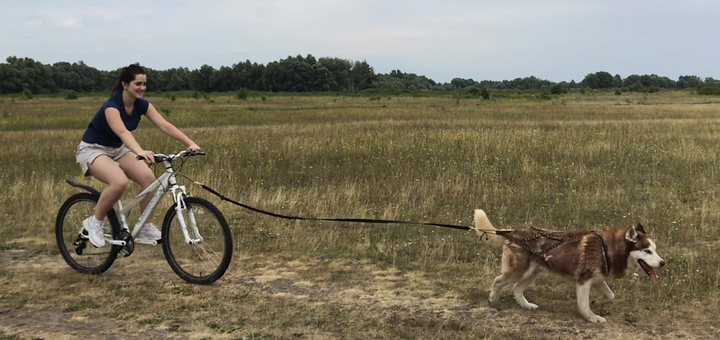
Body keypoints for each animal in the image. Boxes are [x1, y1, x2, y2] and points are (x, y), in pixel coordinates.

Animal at [476, 209, 668, 322]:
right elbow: (584, 305)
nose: (662, 262)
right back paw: (493, 299)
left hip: (533, 273)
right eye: (647, 251)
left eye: (655, 250)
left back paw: (526, 305)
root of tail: (513, 232)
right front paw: (592, 317)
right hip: (519, 271)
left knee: (516, 289)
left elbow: (610, 295)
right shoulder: (584, 281)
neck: (607, 248)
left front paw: (597, 302)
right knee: (498, 281)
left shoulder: (597, 279)